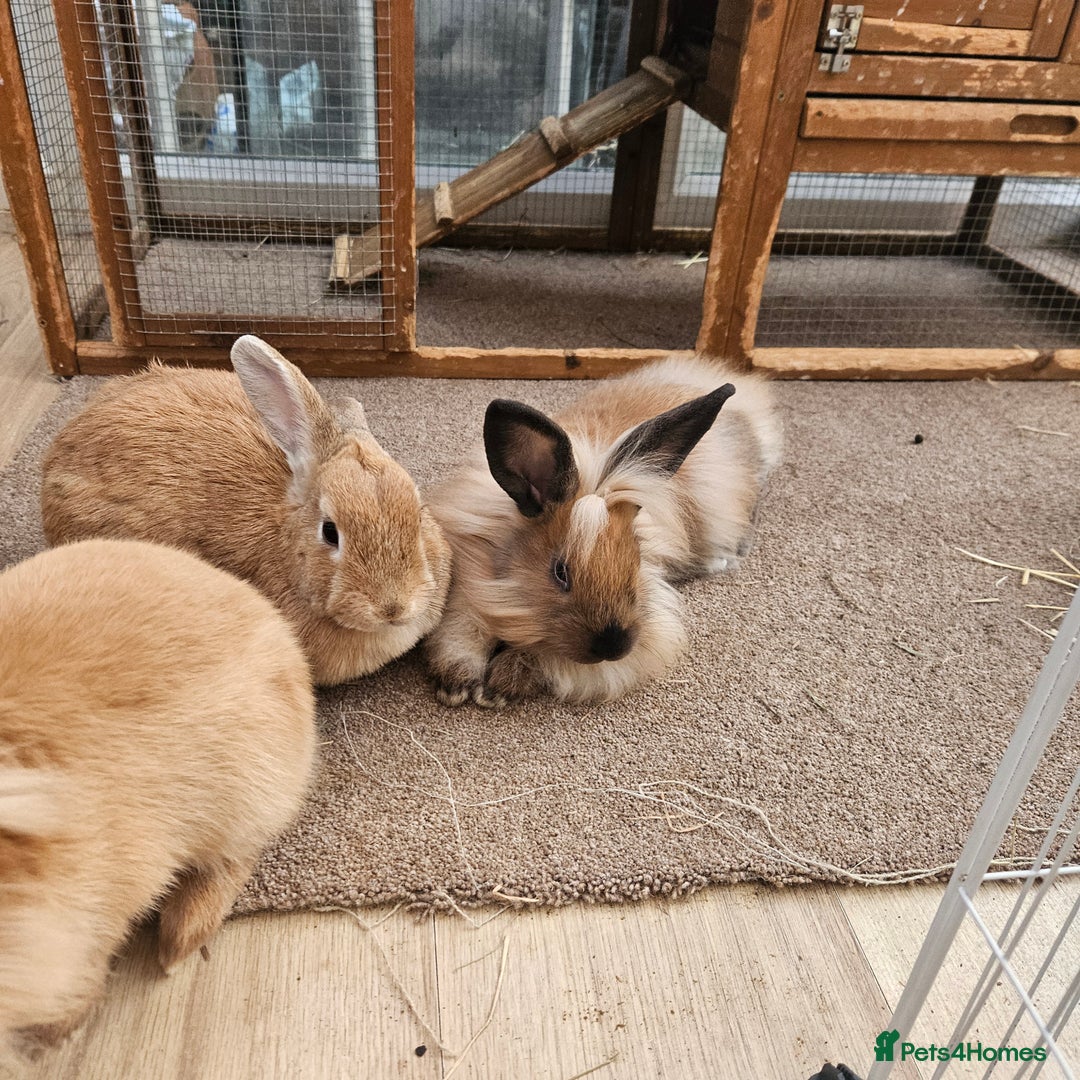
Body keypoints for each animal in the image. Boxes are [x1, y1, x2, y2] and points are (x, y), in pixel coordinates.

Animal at [424, 356, 782, 706]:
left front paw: (497, 688)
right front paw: (457, 686)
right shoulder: (465, 591)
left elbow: (543, 658)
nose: (615, 646)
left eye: (636, 560)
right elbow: (462, 635)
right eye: (560, 572)